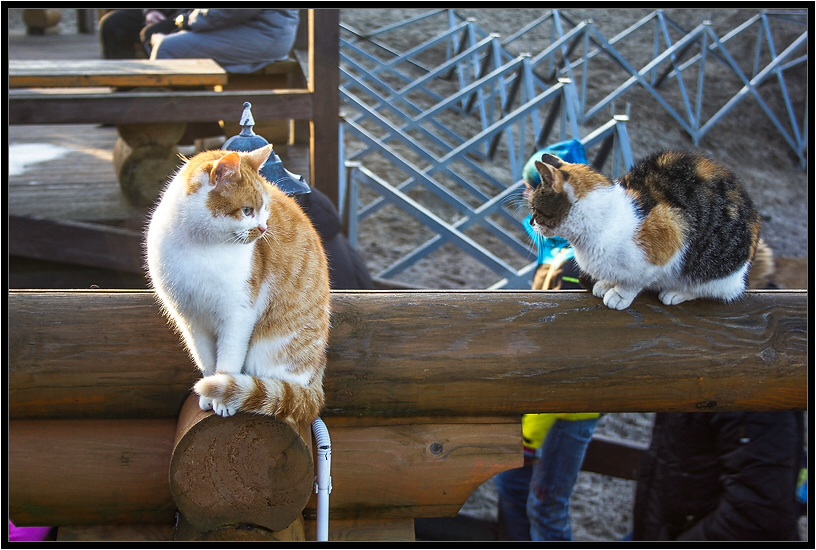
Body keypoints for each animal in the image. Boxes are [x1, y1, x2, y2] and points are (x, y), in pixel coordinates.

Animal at [145, 144, 330, 424]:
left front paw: (223, 396)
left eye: (265, 210)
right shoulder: (191, 319)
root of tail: (317, 374)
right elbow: (207, 361)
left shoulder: (238, 314)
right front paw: (210, 393)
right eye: (247, 211)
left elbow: (228, 359)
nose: (263, 229)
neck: (199, 246)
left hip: (275, 348)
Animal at [524, 151, 760, 310]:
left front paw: (619, 295)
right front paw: (606, 284)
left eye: (535, 209)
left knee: (709, 288)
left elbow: (634, 281)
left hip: (711, 268)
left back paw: (676, 293)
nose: (532, 222)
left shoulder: (669, 237)